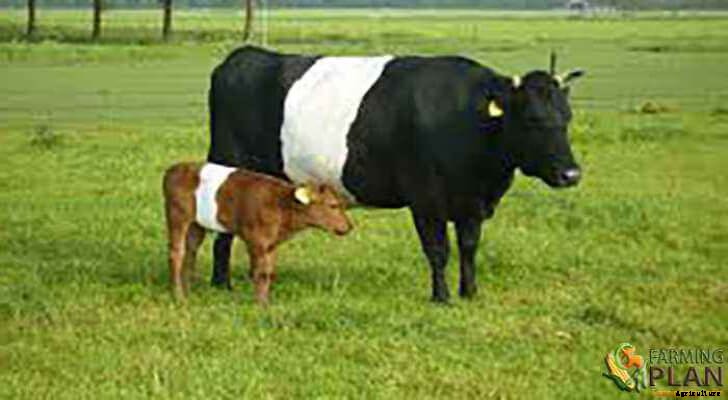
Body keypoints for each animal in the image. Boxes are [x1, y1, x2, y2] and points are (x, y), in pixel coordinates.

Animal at [163, 162, 352, 304]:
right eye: (333, 205)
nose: (349, 226)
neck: (282, 205)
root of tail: (173, 169)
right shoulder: (255, 240)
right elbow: (259, 272)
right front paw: (260, 305)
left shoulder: (271, 243)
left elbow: (269, 272)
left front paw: (266, 301)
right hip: (177, 215)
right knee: (176, 253)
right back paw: (178, 296)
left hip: (196, 224)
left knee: (190, 252)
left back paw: (187, 291)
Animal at [205, 45, 584, 302]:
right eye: (533, 119)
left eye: (567, 117)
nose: (572, 174)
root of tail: (242, 55)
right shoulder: (426, 198)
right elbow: (438, 249)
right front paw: (441, 297)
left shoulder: (471, 202)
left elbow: (469, 246)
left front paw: (470, 292)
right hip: (228, 159)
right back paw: (221, 283)